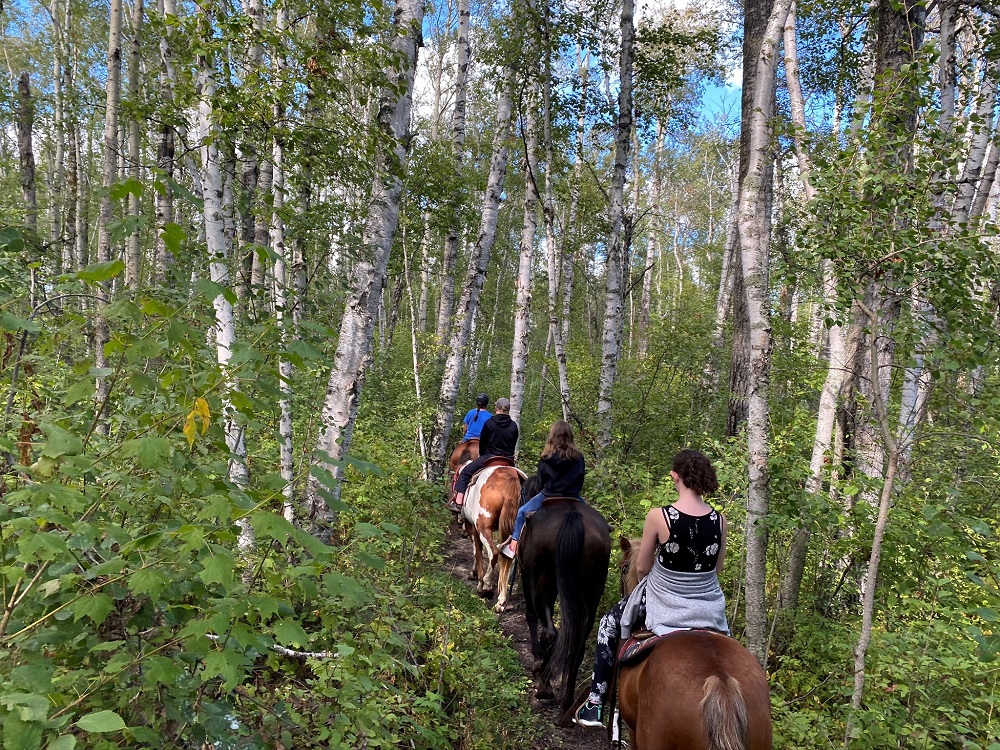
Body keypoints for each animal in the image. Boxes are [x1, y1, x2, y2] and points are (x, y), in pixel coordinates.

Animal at [458, 458, 524, 612]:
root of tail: (511, 477)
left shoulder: (472, 527)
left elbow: (477, 552)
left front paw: (476, 577)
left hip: (484, 527)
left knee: (494, 553)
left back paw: (486, 587)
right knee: (511, 557)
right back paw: (503, 599)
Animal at [520, 500, 612, 712]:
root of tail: (572, 516)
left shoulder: (525, 577)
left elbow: (530, 615)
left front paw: (536, 660)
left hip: (542, 584)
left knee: (550, 632)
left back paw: (544, 688)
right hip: (592, 592)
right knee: (578, 646)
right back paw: (567, 701)